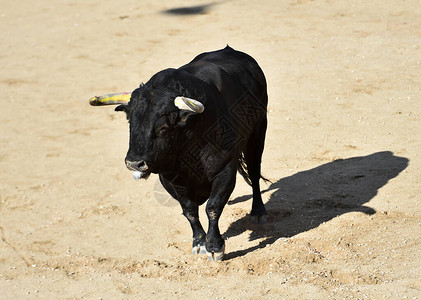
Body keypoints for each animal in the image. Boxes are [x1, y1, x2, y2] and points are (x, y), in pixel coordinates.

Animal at [90, 46, 270, 260]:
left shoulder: (225, 168)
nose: (134, 163)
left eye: (163, 127)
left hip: (258, 131)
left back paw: (258, 212)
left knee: (254, 172)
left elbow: (213, 206)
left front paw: (215, 247)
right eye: (130, 122)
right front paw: (199, 243)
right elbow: (190, 210)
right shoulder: (170, 178)